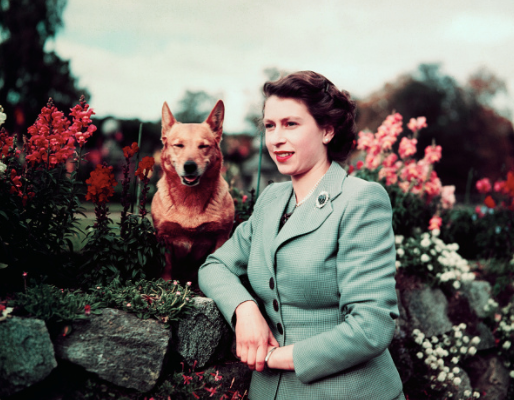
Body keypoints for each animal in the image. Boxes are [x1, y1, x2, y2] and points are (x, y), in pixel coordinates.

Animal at [150, 100, 234, 284]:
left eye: (203, 146)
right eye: (178, 145)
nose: (189, 166)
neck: (190, 199)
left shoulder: (221, 237)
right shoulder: (163, 237)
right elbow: (166, 266)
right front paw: (166, 285)